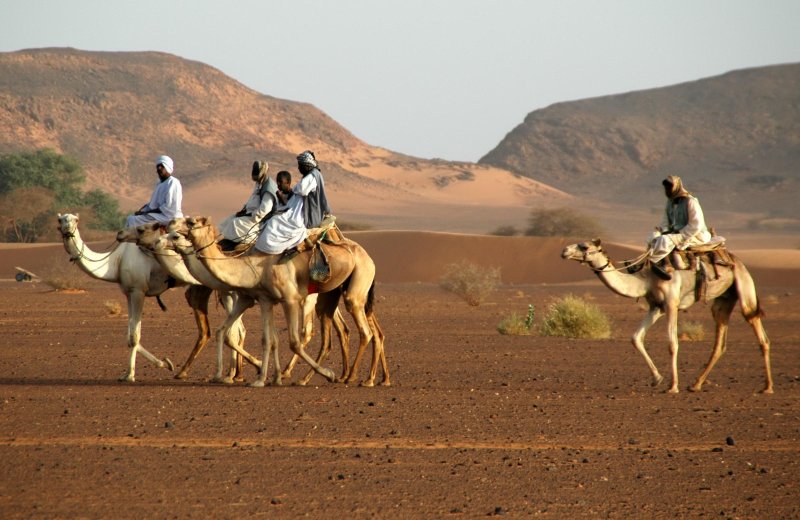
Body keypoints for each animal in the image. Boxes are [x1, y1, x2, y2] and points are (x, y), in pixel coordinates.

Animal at [56, 213, 175, 380]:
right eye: (60, 220)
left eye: (76, 220)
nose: (67, 229)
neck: (116, 261)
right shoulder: (128, 293)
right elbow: (130, 337)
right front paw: (164, 363)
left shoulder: (138, 290)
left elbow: (134, 337)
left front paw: (130, 375)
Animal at [560, 240, 772, 394]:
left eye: (584, 246)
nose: (564, 250)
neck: (647, 279)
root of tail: (735, 260)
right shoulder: (656, 307)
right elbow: (636, 338)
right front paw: (657, 379)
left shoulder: (671, 303)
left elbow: (672, 343)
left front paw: (673, 386)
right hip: (724, 299)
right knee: (719, 341)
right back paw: (696, 384)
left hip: (744, 286)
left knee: (757, 327)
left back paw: (768, 387)